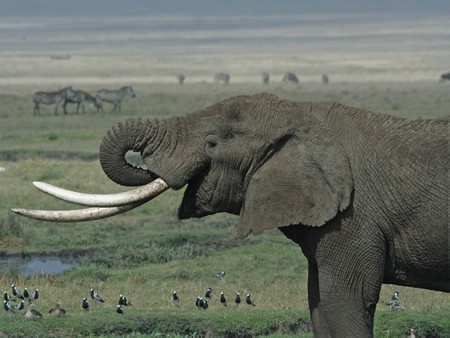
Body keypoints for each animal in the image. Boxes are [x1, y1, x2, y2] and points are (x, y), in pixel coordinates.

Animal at [12, 91, 448, 336]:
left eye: (211, 143)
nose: (146, 164)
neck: (301, 113)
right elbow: (319, 304)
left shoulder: (354, 218)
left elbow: (346, 301)